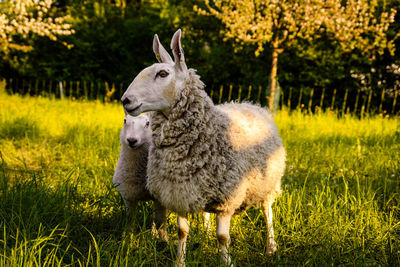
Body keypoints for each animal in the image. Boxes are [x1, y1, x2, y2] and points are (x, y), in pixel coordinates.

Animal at [111, 112, 168, 242]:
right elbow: (130, 219)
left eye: (147, 123)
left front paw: (164, 242)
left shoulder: (159, 199)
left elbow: (160, 222)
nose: (132, 140)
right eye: (125, 121)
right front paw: (127, 239)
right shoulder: (128, 197)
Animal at [120, 30, 286, 266]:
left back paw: (271, 246)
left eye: (162, 73)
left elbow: (223, 237)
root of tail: (249, 103)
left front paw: (226, 262)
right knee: (207, 213)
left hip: (269, 182)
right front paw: (180, 261)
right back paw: (207, 233)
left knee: (267, 211)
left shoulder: (227, 197)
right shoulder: (180, 191)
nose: (126, 100)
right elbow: (182, 232)